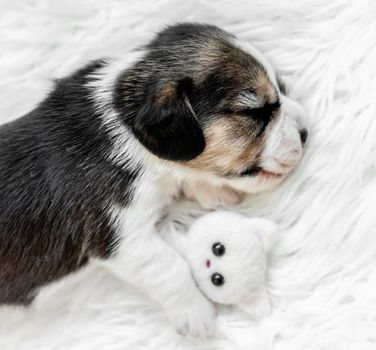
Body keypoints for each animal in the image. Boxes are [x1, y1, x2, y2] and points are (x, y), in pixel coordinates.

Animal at [0, 23, 306, 336]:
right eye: (255, 112)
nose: (305, 132)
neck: (126, 122)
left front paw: (212, 189)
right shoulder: (121, 236)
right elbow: (169, 267)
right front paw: (196, 315)